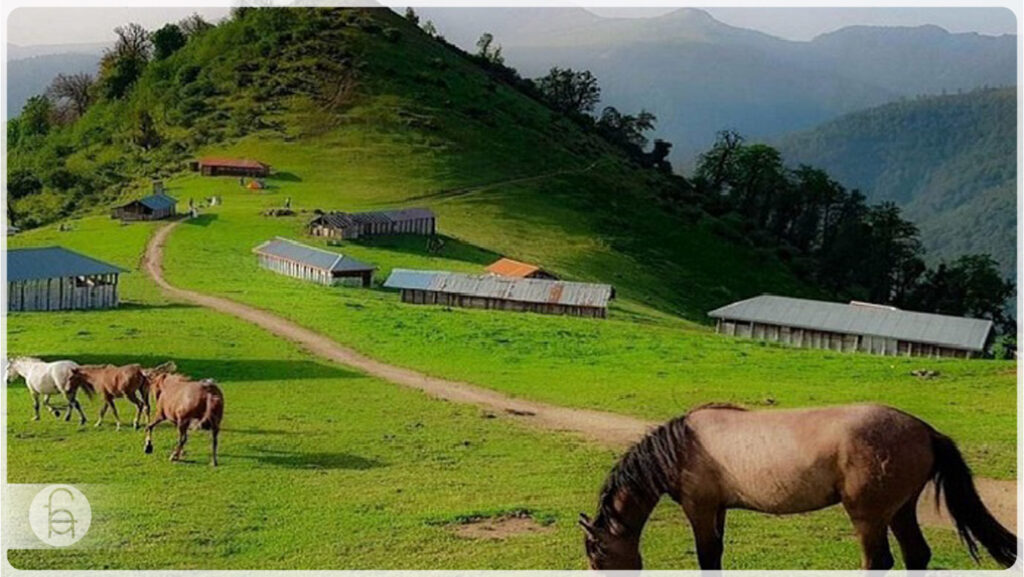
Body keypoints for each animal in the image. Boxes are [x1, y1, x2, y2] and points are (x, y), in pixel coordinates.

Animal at [581, 403, 1019, 569]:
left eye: (598, 555)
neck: (682, 446)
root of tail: (927, 431)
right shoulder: (717, 509)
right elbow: (716, 554)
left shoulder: (699, 508)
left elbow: (707, 557)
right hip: (900, 510)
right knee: (917, 555)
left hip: (869, 516)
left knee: (879, 561)